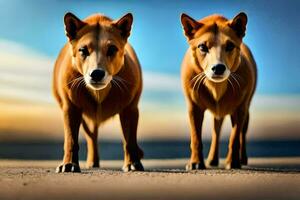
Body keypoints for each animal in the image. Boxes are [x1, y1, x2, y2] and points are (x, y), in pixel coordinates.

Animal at [52, 12, 144, 172]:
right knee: (91, 137)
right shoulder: (70, 107)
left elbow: (129, 140)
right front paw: (68, 164)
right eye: (83, 50)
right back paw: (92, 162)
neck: (99, 93)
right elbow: (71, 140)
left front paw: (132, 164)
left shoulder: (130, 108)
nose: (96, 73)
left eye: (112, 49)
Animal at [180, 12, 255, 169]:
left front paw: (233, 162)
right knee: (216, 131)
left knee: (242, 133)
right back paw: (213, 159)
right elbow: (196, 138)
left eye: (230, 46)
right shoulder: (194, 107)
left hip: (246, 108)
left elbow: (235, 137)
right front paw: (195, 162)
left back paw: (242, 159)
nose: (219, 68)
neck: (216, 86)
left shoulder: (240, 108)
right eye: (202, 47)